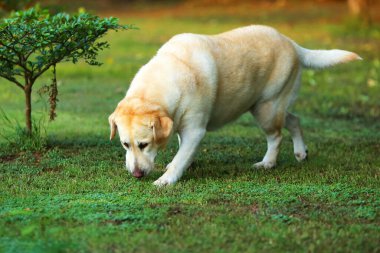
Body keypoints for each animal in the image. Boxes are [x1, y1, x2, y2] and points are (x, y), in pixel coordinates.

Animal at [108, 25, 360, 186]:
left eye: (144, 144)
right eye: (125, 144)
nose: (136, 174)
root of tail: (292, 43)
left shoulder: (195, 130)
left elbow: (180, 158)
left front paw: (166, 179)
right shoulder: (180, 124)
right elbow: (183, 151)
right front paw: (186, 163)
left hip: (266, 109)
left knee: (276, 136)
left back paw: (268, 163)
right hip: (268, 106)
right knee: (293, 119)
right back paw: (300, 152)